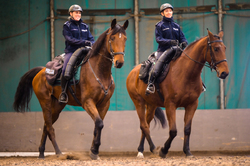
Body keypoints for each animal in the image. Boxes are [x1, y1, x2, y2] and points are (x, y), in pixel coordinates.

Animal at [12, 18, 128, 160]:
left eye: (125, 39)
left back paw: (41, 153)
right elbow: (99, 124)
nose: (119, 62)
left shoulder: (104, 104)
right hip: (45, 102)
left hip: (57, 106)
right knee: (49, 128)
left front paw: (93, 151)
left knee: (46, 125)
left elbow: (97, 126)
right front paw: (94, 151)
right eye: (112, 38)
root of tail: (41, 71)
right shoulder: (88, 102)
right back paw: (58, 153)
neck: (99, 71)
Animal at [126, 29, 229, 158]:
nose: (225, 73)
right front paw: (163, 150)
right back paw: (151, 149)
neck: (186, 73)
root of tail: (133, 71)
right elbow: (173, 131)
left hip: (151, 105)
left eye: (224, 48)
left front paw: (187, 151)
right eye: (215, 49)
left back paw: (142, 149)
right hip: (138, 102)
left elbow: (187, 129)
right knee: (143, 125)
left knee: (146, 125)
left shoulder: (192, 104)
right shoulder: (171, 105)